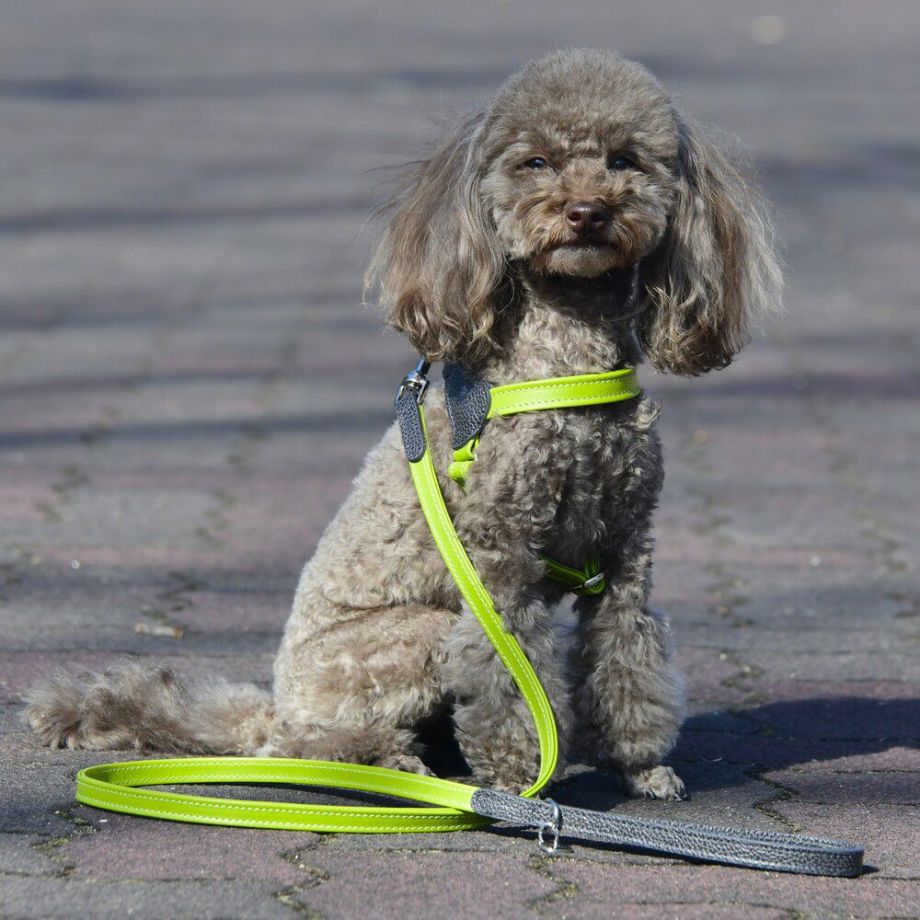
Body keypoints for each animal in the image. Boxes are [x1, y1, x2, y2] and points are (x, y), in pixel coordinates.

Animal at [27, 49, 780, 800]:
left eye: (625, 160)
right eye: (534, 162)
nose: (587, 212)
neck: (564, 362)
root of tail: (274, 705)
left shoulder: (625, 554)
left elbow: (629, 658)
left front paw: (643, 767)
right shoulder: (500, 562)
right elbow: (513, 676)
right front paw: (518, 779)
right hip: (418, 633)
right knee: (306, 745)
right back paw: (392, 762)